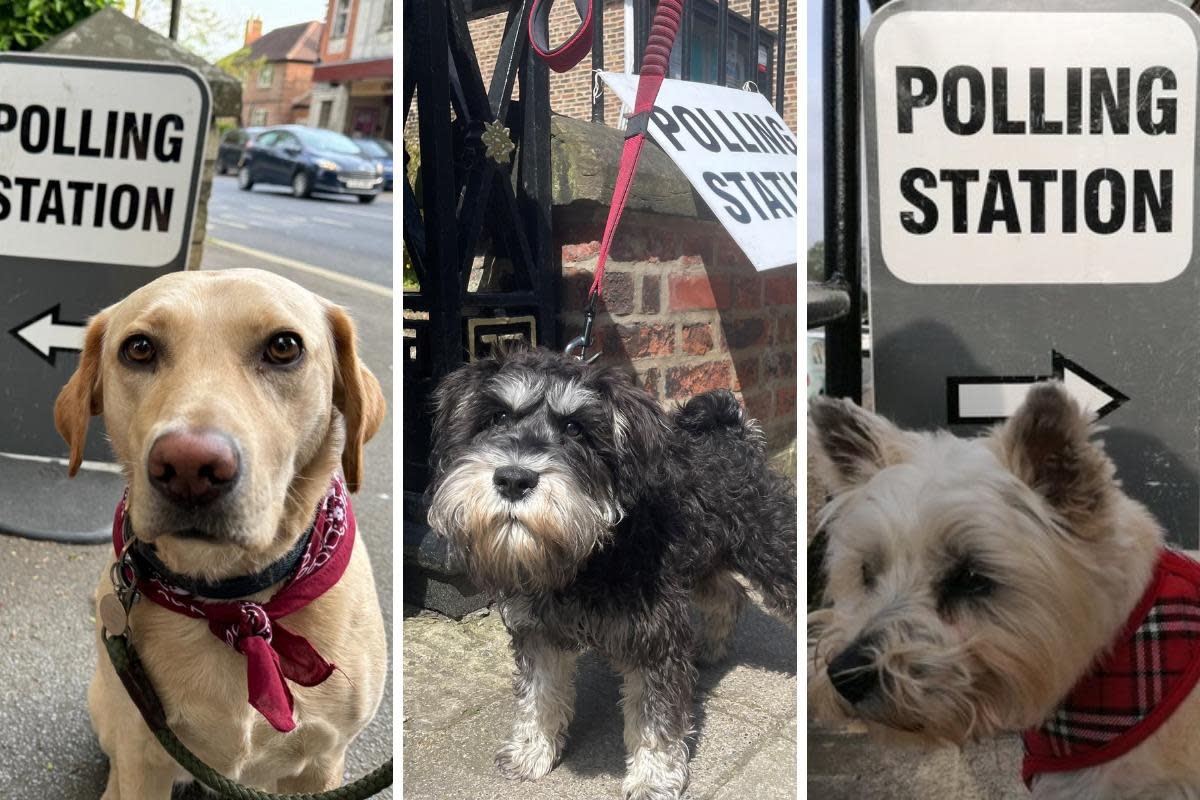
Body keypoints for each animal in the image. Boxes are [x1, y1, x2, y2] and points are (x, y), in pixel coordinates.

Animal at [427, 347, 792, 800]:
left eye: (576, 429)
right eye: (496, 418)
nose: (513, 478)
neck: (587, 554)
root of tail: (735, 434)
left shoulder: (655, 640)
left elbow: (654, 720)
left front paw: (653, 778)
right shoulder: (538, 632)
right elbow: (539, 696)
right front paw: (530, 752)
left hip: (773, 551)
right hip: (699, 563)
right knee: (728, 595)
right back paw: (709, 649)